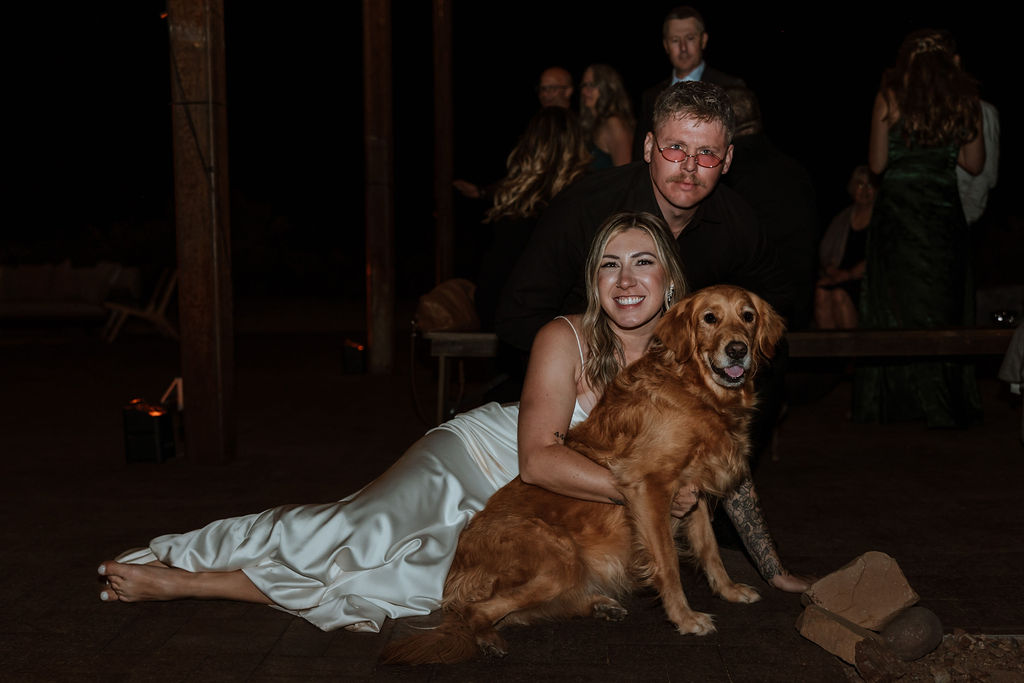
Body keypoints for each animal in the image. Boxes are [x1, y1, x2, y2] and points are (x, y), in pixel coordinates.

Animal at [385, 286, 782, 663]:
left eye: (747, 316)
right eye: (709, 318)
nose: (737, 351)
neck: (697, 390)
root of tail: (456, 567)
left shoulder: (693, 489)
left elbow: (709, 549)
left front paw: (728, 590)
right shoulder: (649, 486)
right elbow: (668, 562)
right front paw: (684, 618)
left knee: (525, 611)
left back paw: (599, 605)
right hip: (559, 558)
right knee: (476, 610)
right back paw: (488, 638)